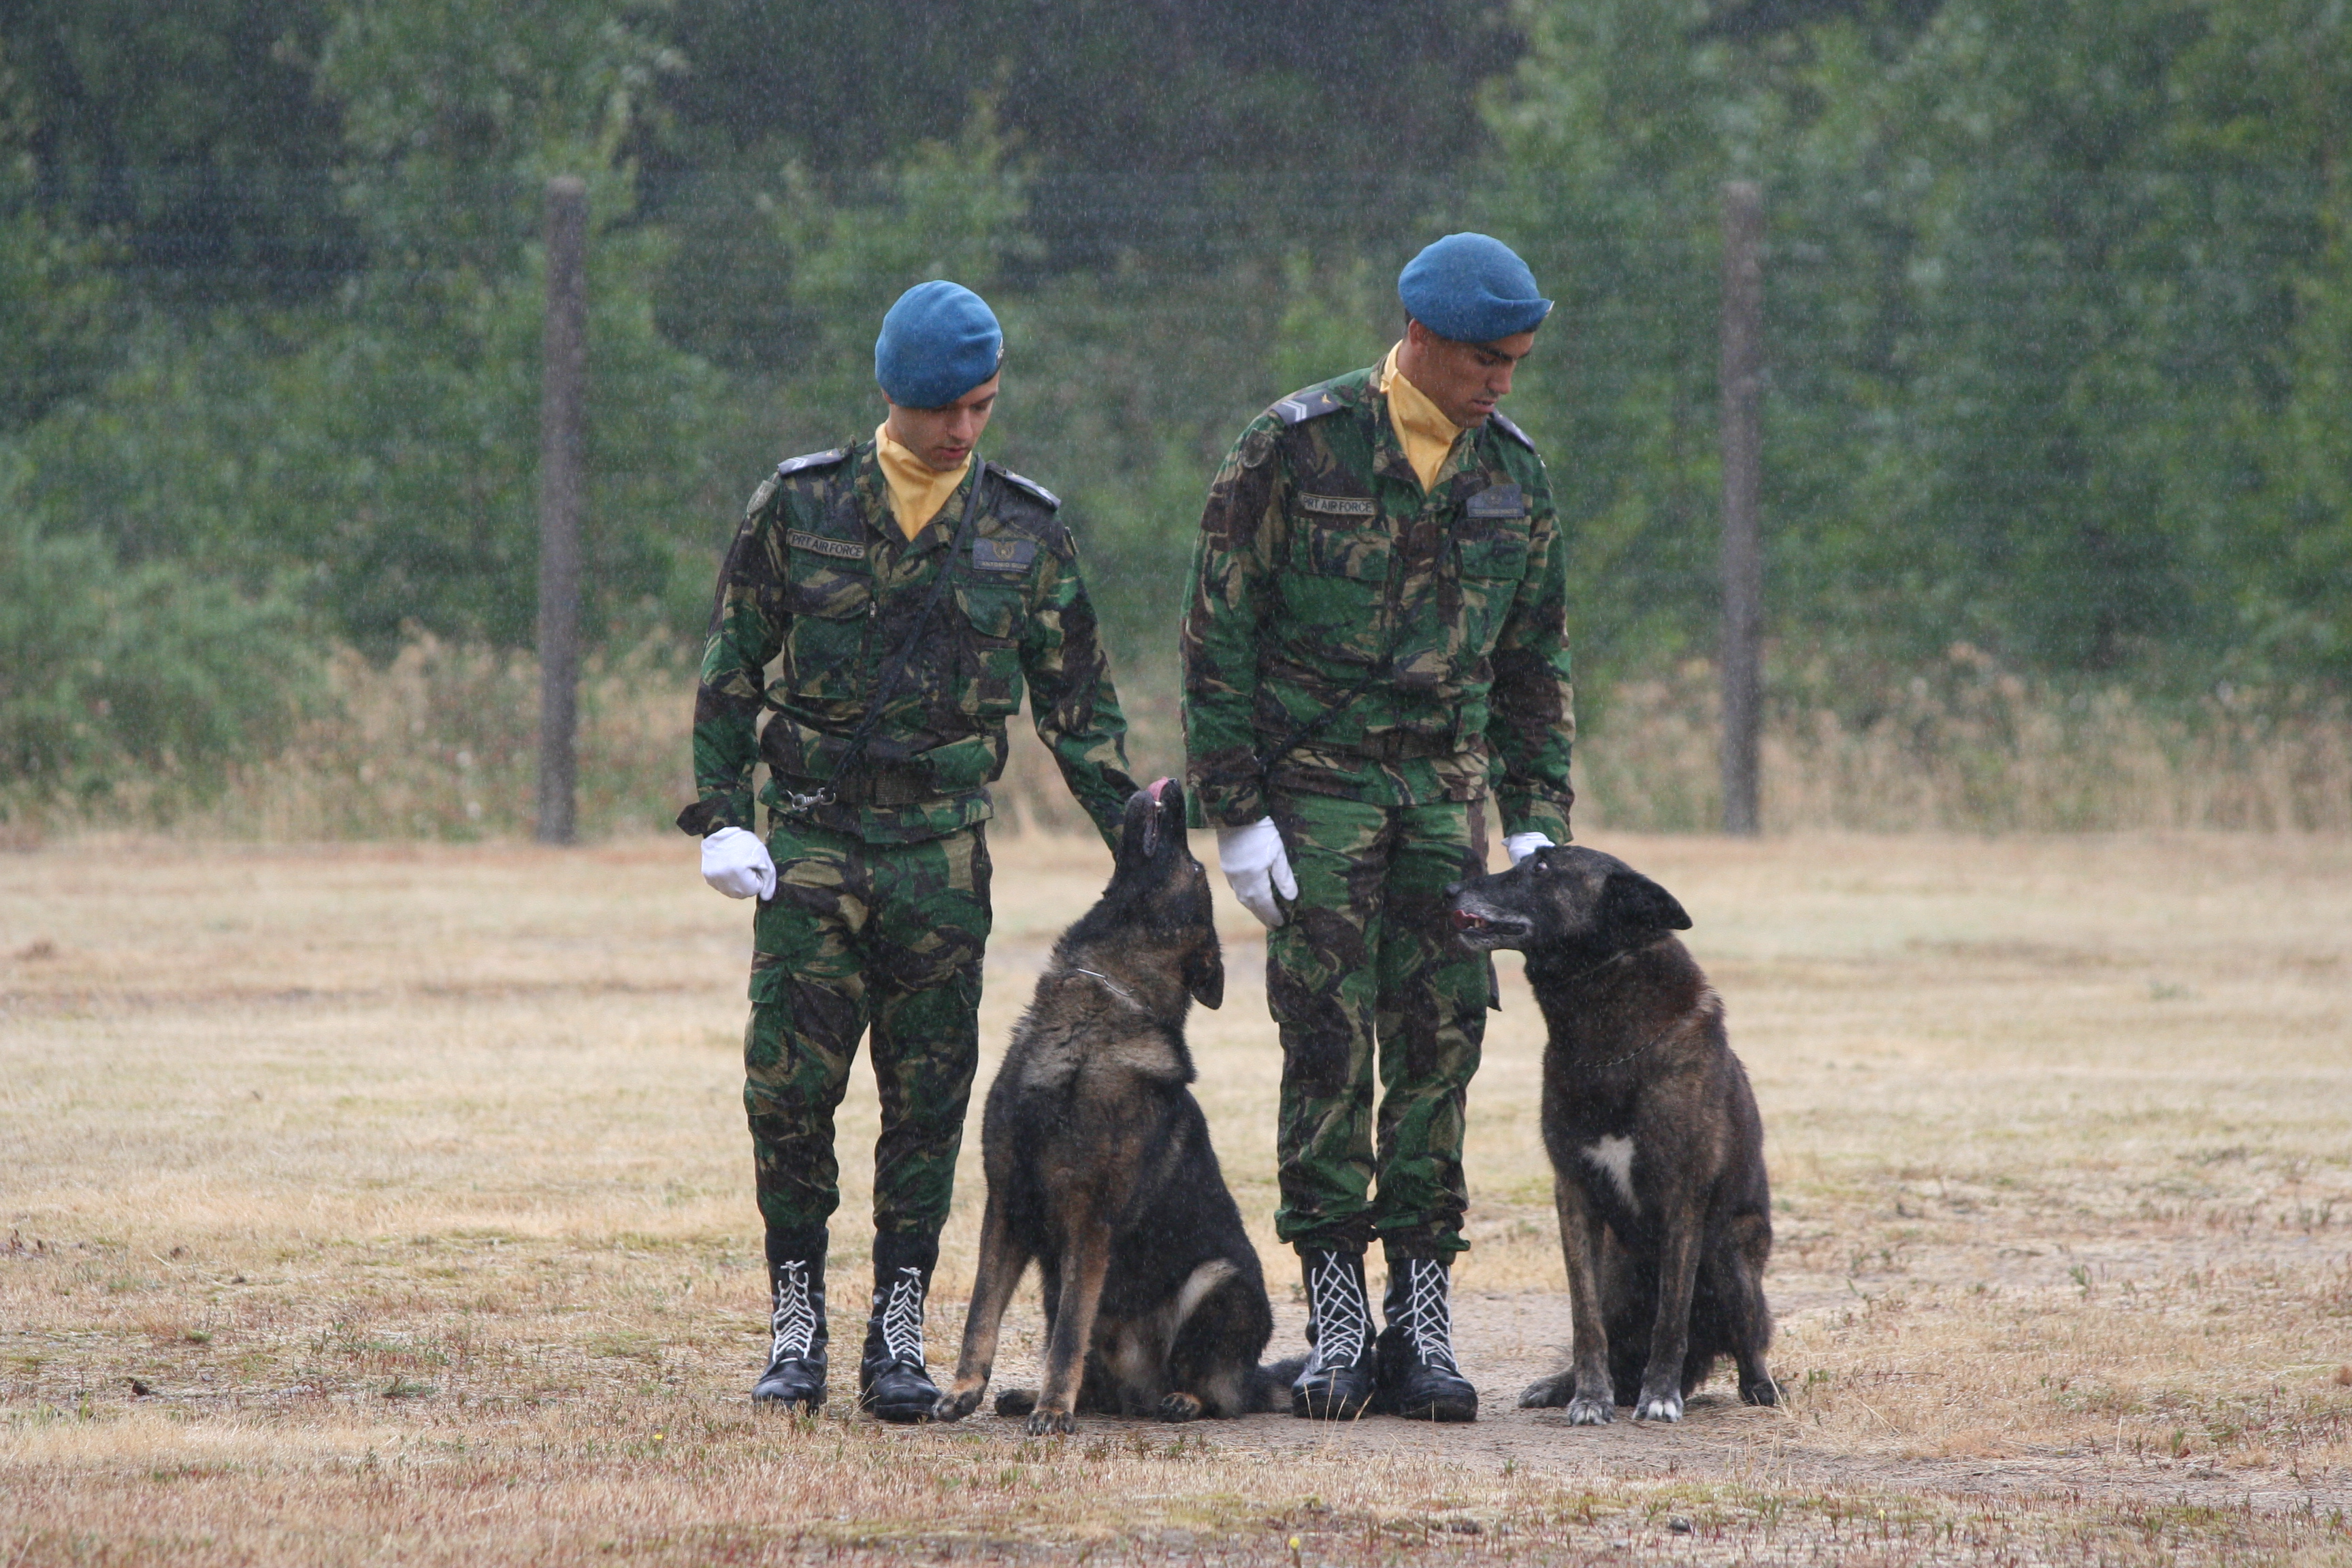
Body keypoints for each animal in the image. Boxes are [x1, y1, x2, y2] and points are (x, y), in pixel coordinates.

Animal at [926, 780, 1298, 1439]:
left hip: (1219, 1282)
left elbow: (1071, 1332)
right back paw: (1035, 1395)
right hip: (1052, 1285)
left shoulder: (1088, 1220)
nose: (1174, 787)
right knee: (1094, 1375)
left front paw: (1054, 1410)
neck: (1099, 998)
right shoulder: (1008, 1203)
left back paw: (1181, 1400)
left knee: (1218, 1391)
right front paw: (967, 1390)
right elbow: (981, 1311)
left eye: (1196, 869)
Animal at [1439, 851, 1768, 1429]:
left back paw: (1759, 1388)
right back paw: (1562, 1384)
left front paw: (1659, 1395)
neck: (1608, 1043)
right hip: (1619, 1265)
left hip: (1730, 1253)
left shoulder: (1683, 1198)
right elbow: (1585, 1319)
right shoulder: (1573, 1192)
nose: (1450, 890)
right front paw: (1590, 1396)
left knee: (1747, 1343)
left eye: (1543, 868)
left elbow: (1671, 1318)